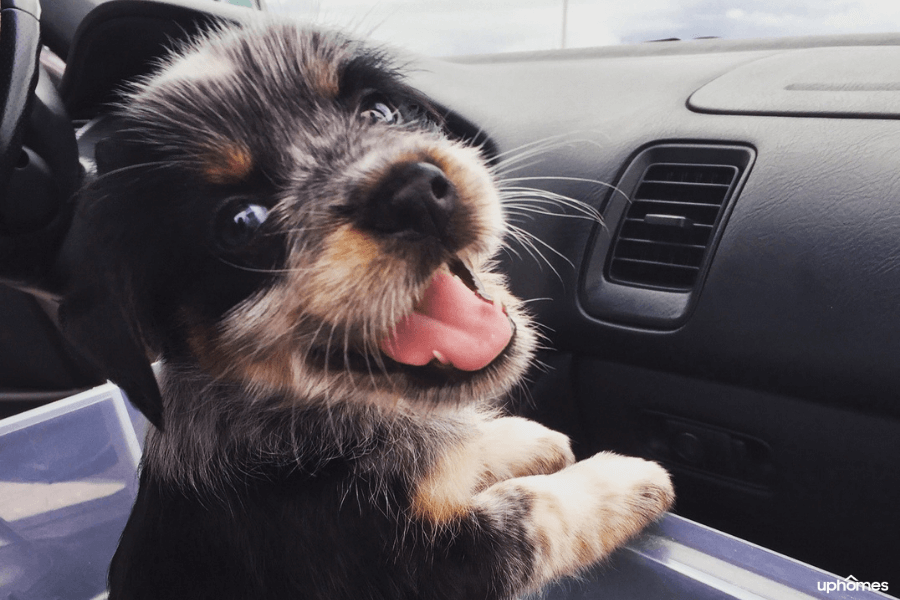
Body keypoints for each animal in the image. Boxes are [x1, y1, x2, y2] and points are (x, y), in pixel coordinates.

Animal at [58, 19, 676, 600]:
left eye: (378, 109)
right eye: (240, 223)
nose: (414, 191)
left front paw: (525, 438)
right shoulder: (420, 563)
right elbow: (531, 512)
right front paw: (624, 480)